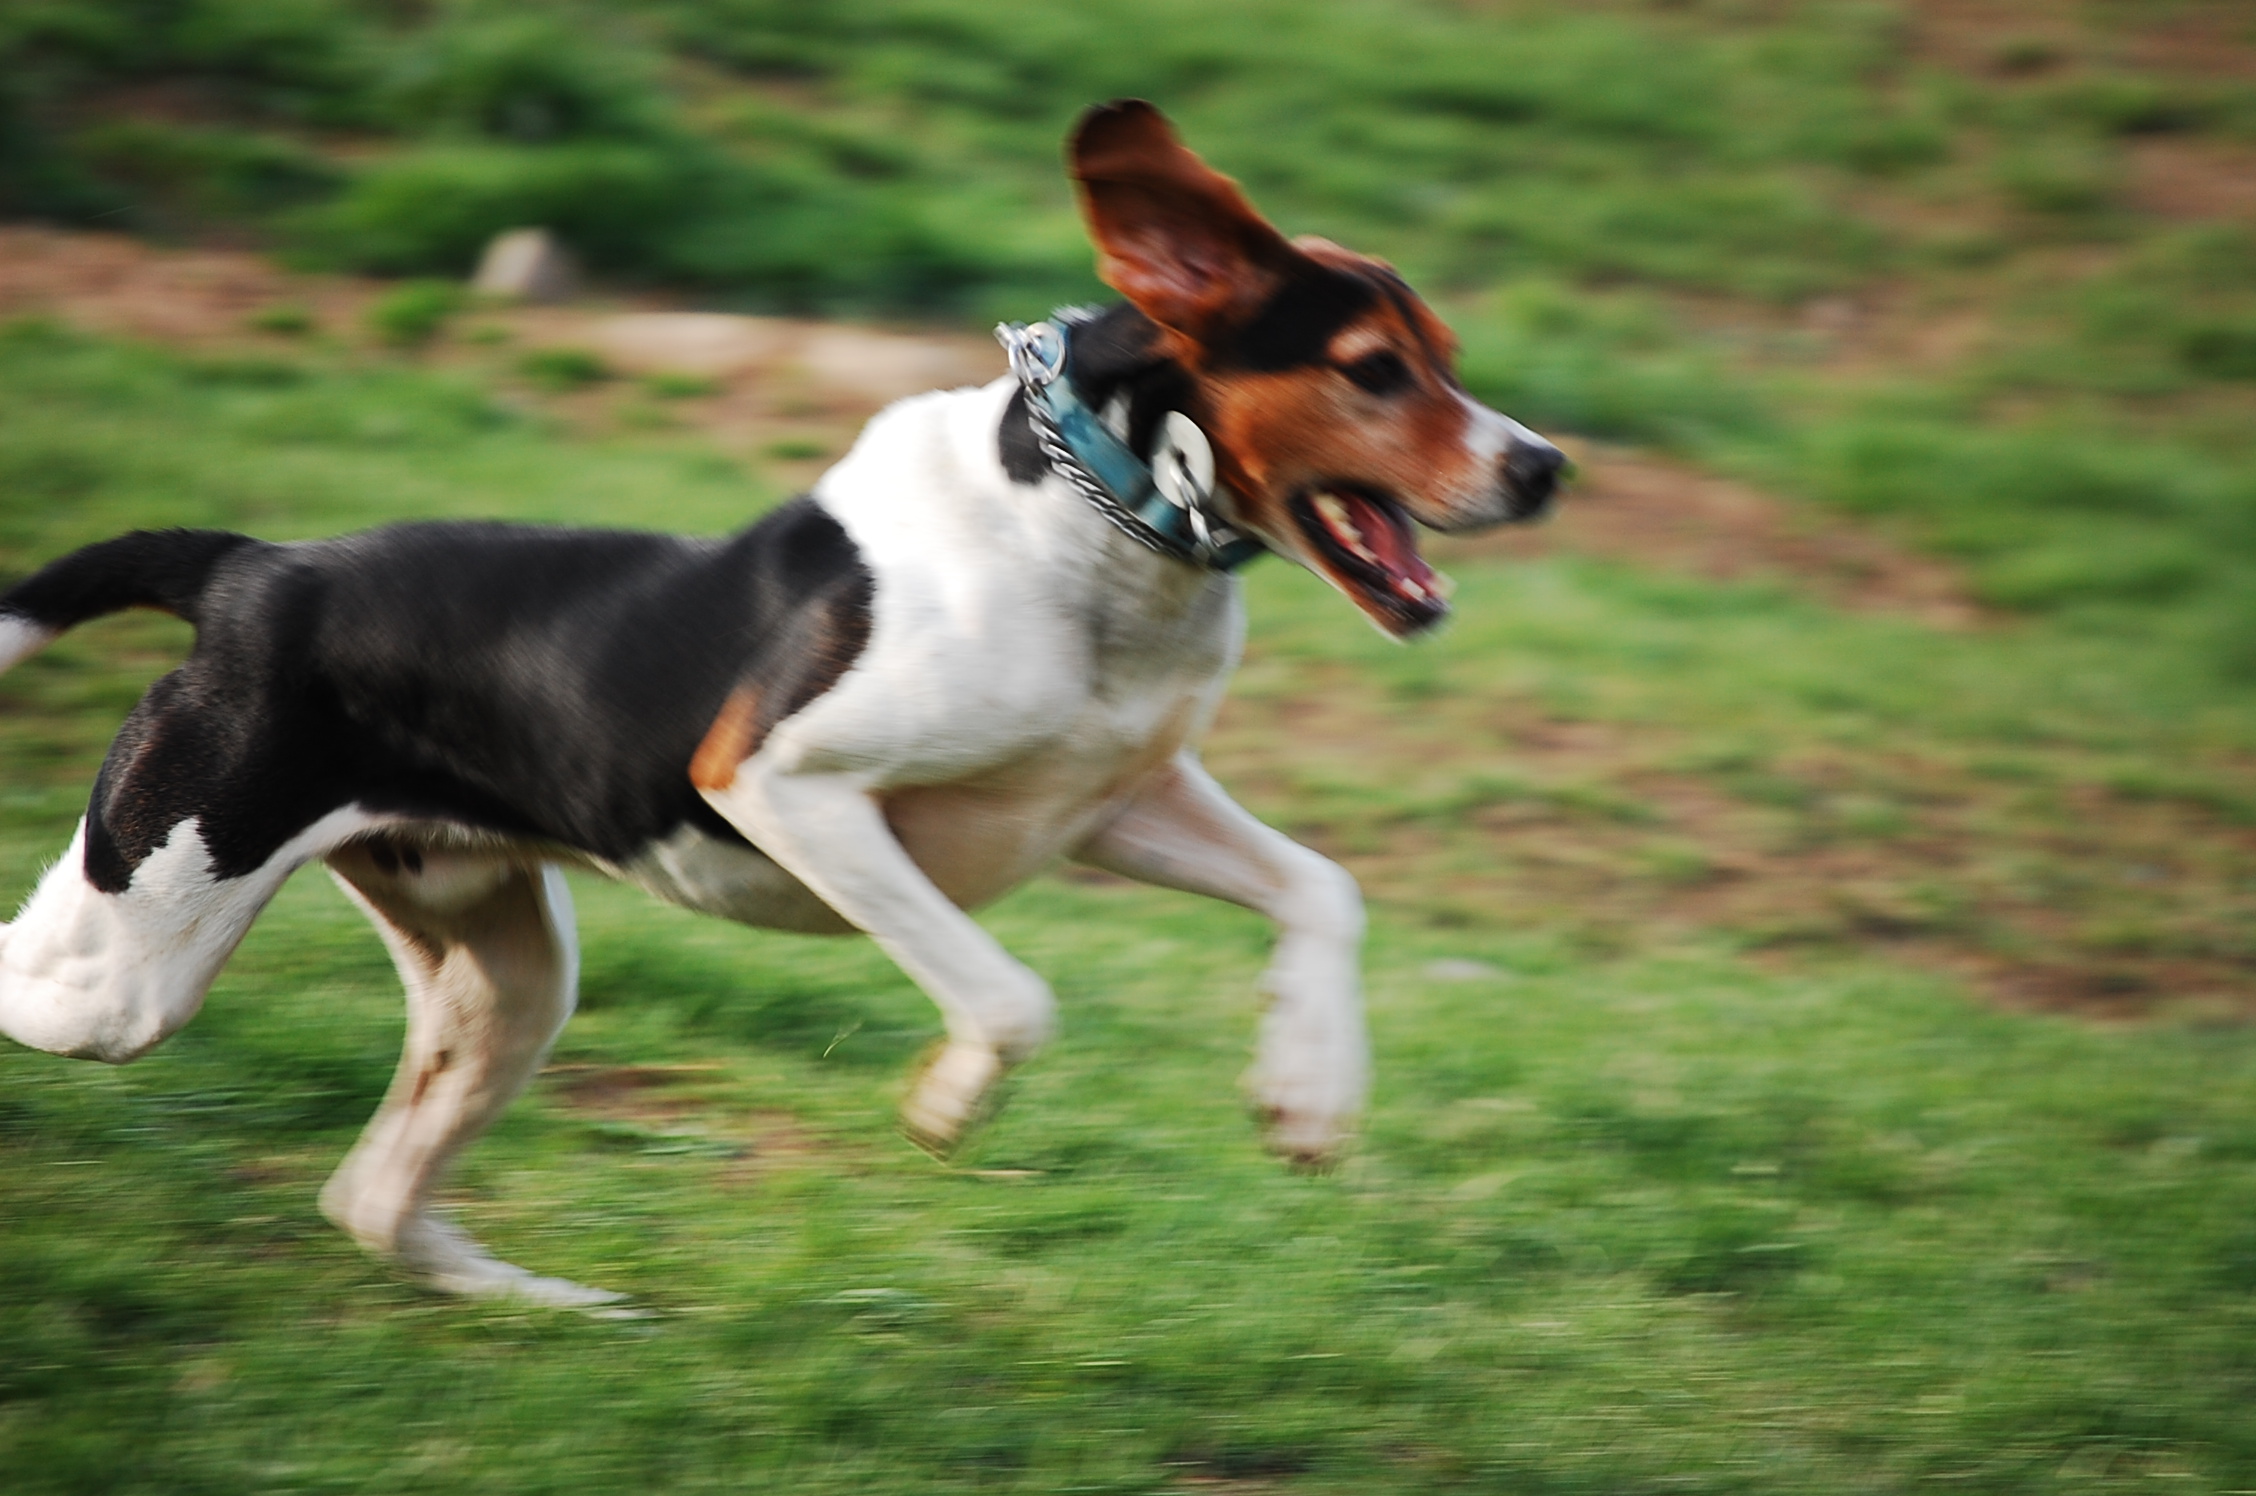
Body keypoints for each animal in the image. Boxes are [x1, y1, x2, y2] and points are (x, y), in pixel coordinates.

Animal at [0, 99, 1561, 1308]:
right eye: (1372, 369)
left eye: (1448, 355)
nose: (1545, 466)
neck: (1095, 524)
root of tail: (252, 568)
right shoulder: (783, 784)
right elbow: (1013, 998)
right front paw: (945, 1107)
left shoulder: (1117, 805)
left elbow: (1323, 890)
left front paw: (1310, 1092)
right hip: (131, 957)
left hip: (503, 978)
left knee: (372, 1198)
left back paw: (545, 1304)